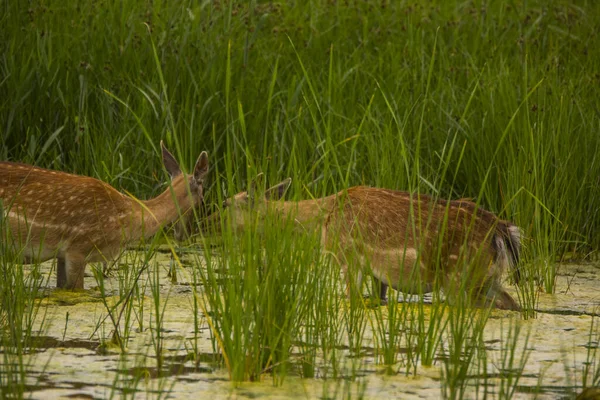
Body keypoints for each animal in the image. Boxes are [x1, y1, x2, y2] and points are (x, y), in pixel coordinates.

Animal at [197, 177, 520, 310]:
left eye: (225, 204)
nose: (202, 223)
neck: (321, 222)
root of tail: (502, 231)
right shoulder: (381, 275)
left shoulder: (347, 257)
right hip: (487, 278)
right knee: (511, 302)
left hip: (462, 277)